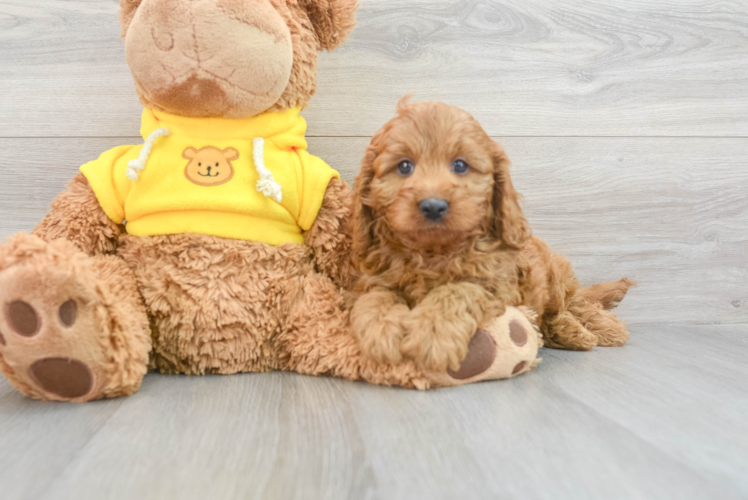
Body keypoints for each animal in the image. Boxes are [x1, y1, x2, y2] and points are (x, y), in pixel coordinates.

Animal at [348, 97, 636, 374]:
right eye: (404, 166)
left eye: (460, 165)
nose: (433, 206)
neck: (434, 251)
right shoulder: (376, 278)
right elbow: (375, 297)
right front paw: (381, 330)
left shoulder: (499, 285)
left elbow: (459, 289)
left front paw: (433, 331)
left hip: (555, 279)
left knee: (574, 304)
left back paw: (597, 330)